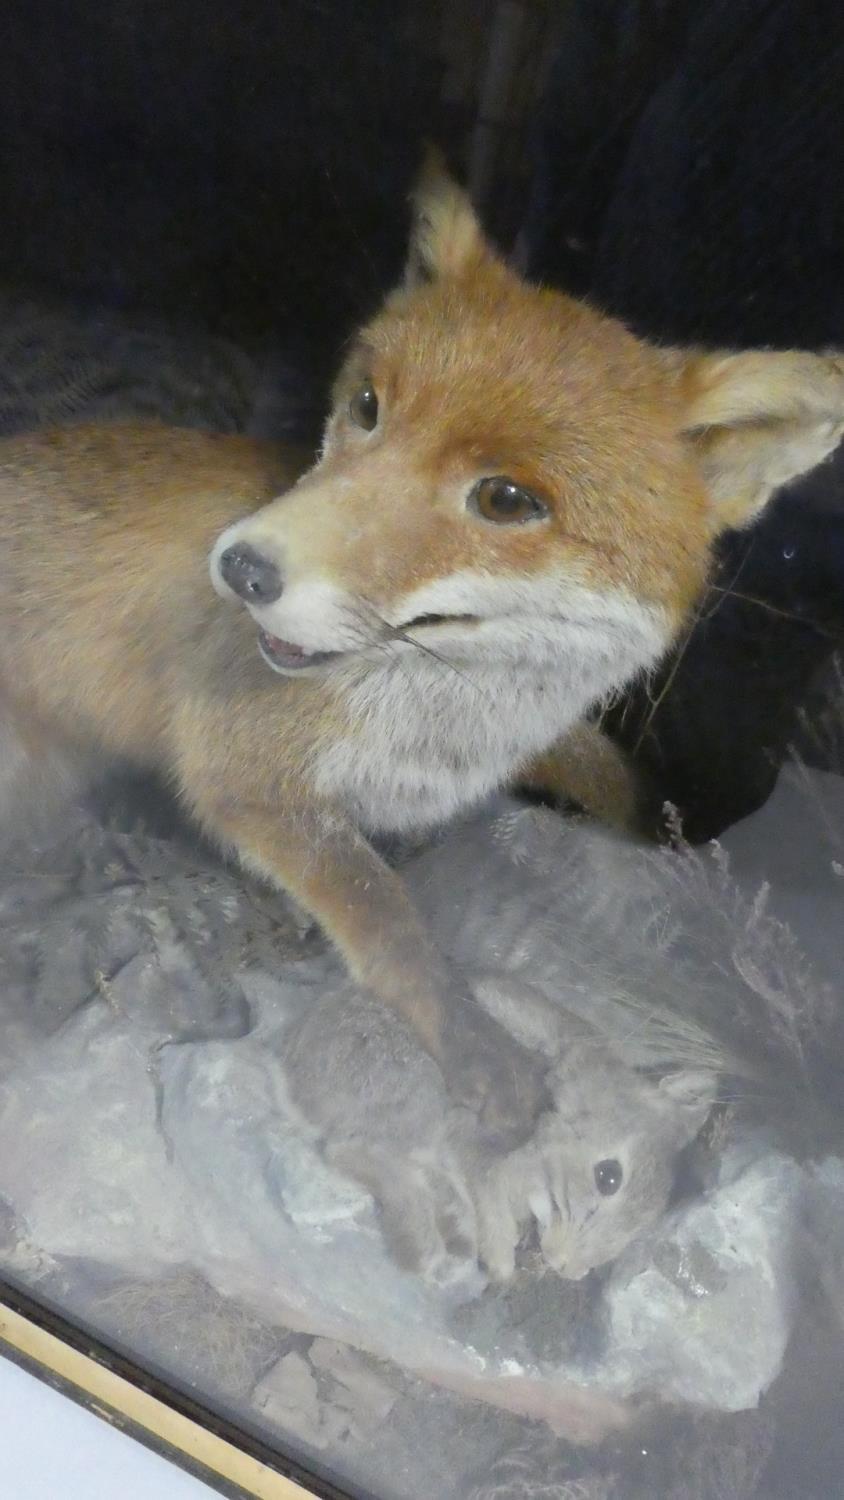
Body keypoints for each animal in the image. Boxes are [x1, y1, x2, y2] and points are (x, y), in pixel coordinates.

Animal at [1, 164, 844, 1122]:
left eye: (507, 500)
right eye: (369, 407)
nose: (244, 568)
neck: (442, 731)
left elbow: (606, 769)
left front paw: (673, 836)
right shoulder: (244, 776)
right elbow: (387, 915)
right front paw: (471, 1044)